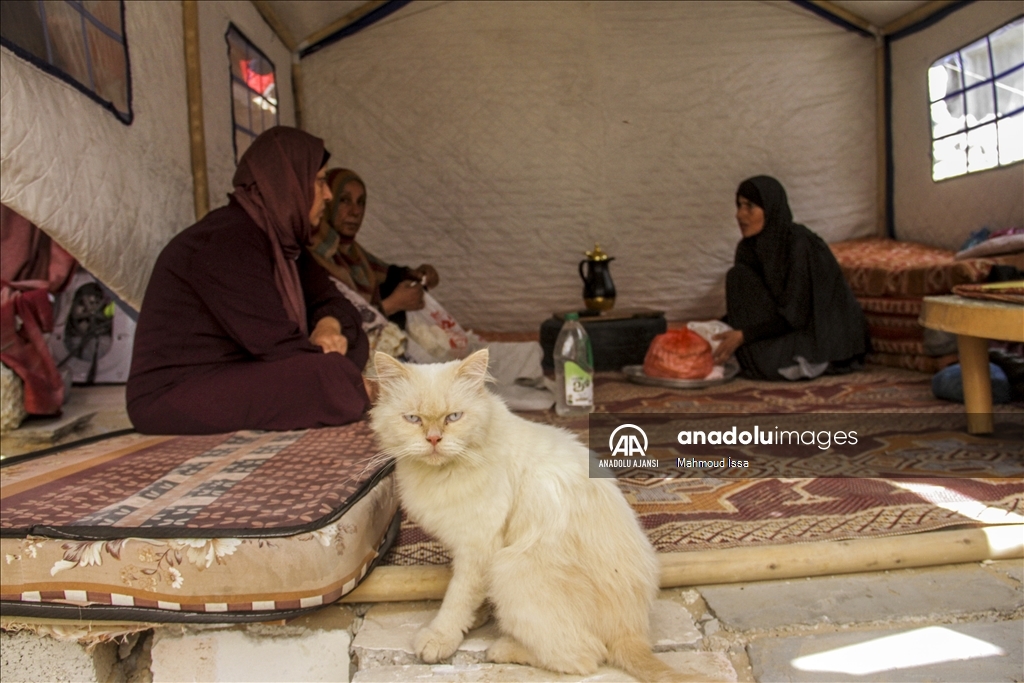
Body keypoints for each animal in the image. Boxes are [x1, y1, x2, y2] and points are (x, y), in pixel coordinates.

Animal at [368, 350, 696, 679]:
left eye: (453, 418)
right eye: (413, 419)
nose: (434, 439)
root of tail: (633, 632)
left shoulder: (478, 548)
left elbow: (456, 599)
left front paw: (440, 637)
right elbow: (471, 598)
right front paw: (476, 616)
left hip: (509, 568)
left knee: (584, 657)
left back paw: (503, 648)